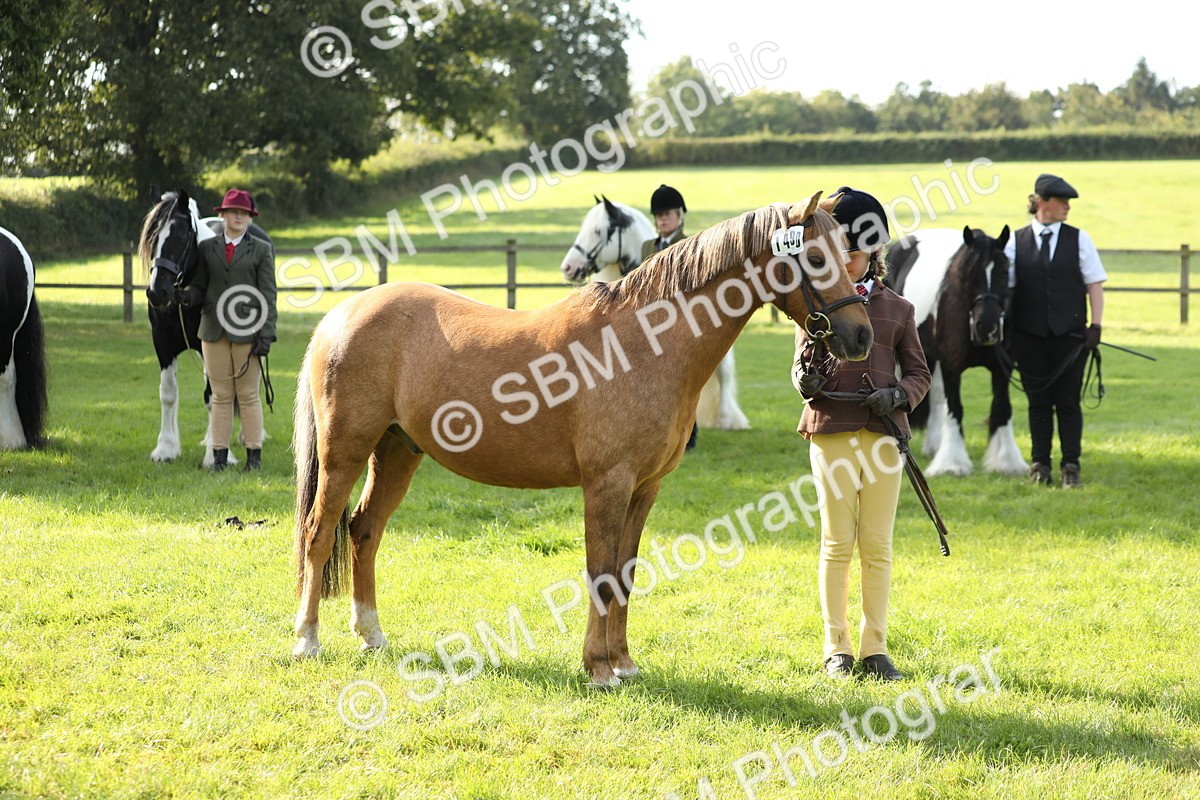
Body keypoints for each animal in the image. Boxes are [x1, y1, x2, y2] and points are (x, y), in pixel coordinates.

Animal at [885, 225, 1026, 476]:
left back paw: (933, 445)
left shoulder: (1003, 369)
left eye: (1004, 271)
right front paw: (952, 463)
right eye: (969, 274)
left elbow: (1002, 408)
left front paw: (1007, 461)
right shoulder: (952, 366)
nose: (987, 327)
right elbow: (955, 410)